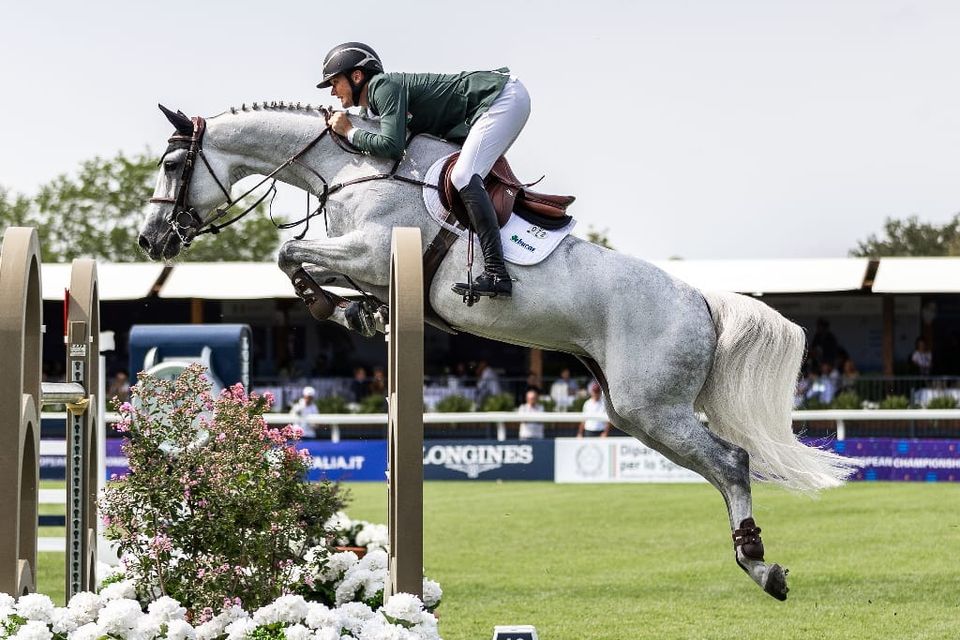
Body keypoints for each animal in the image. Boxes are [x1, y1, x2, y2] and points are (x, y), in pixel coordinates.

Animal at [139, 100, 860, 600]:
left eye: (173, 166)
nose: (151, 240)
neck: (348, 168)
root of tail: (703, 302)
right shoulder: (367, 262)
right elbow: (299, 261)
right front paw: (356, 311)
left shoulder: (373, 251)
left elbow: (288, 251)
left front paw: (338, 308)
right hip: (637, 413)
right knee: (717, 466)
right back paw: (754, 559)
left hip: (653, 407)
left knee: (732, 462)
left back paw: (761, 567)